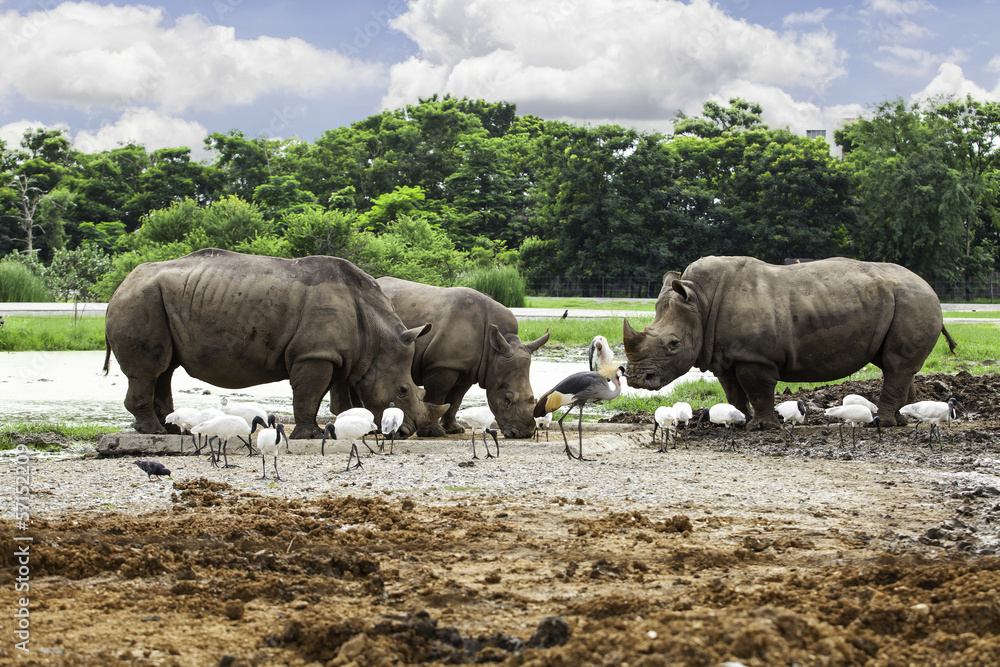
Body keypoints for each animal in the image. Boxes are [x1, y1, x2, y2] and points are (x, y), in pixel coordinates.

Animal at [104, 249, 448, 440]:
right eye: (402, 391)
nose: (405, 433)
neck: (376, 339)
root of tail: (119, 287)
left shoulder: (339, 356)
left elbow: (334, 399)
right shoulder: (314, 354)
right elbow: (309, 395)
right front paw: (310, 436)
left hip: (151, 300)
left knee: (165, 369)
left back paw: (171, 430)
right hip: (140, 300)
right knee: (150, 370)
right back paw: (154, 431)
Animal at [376, 276, 550, 439]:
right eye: (507, 399)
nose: (523, 434)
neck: (493, 351)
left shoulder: (466, 369)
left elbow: (455, 400)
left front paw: (453, 429)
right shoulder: (442, 364)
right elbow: (436, 396)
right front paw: (432, 432)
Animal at [623, 256, 956, 429]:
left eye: (673, 344)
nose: (637, 378)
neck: (700, 301)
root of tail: (931, 288)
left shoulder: (755, 356)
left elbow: (757, 389)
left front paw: (763, 427)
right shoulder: (724, 354)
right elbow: (733, 391)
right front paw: (741, 421)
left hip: (915, 301)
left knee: (897, 365)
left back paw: (882, 424)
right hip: (904, 302)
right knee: (897, 366)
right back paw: (900, 421)